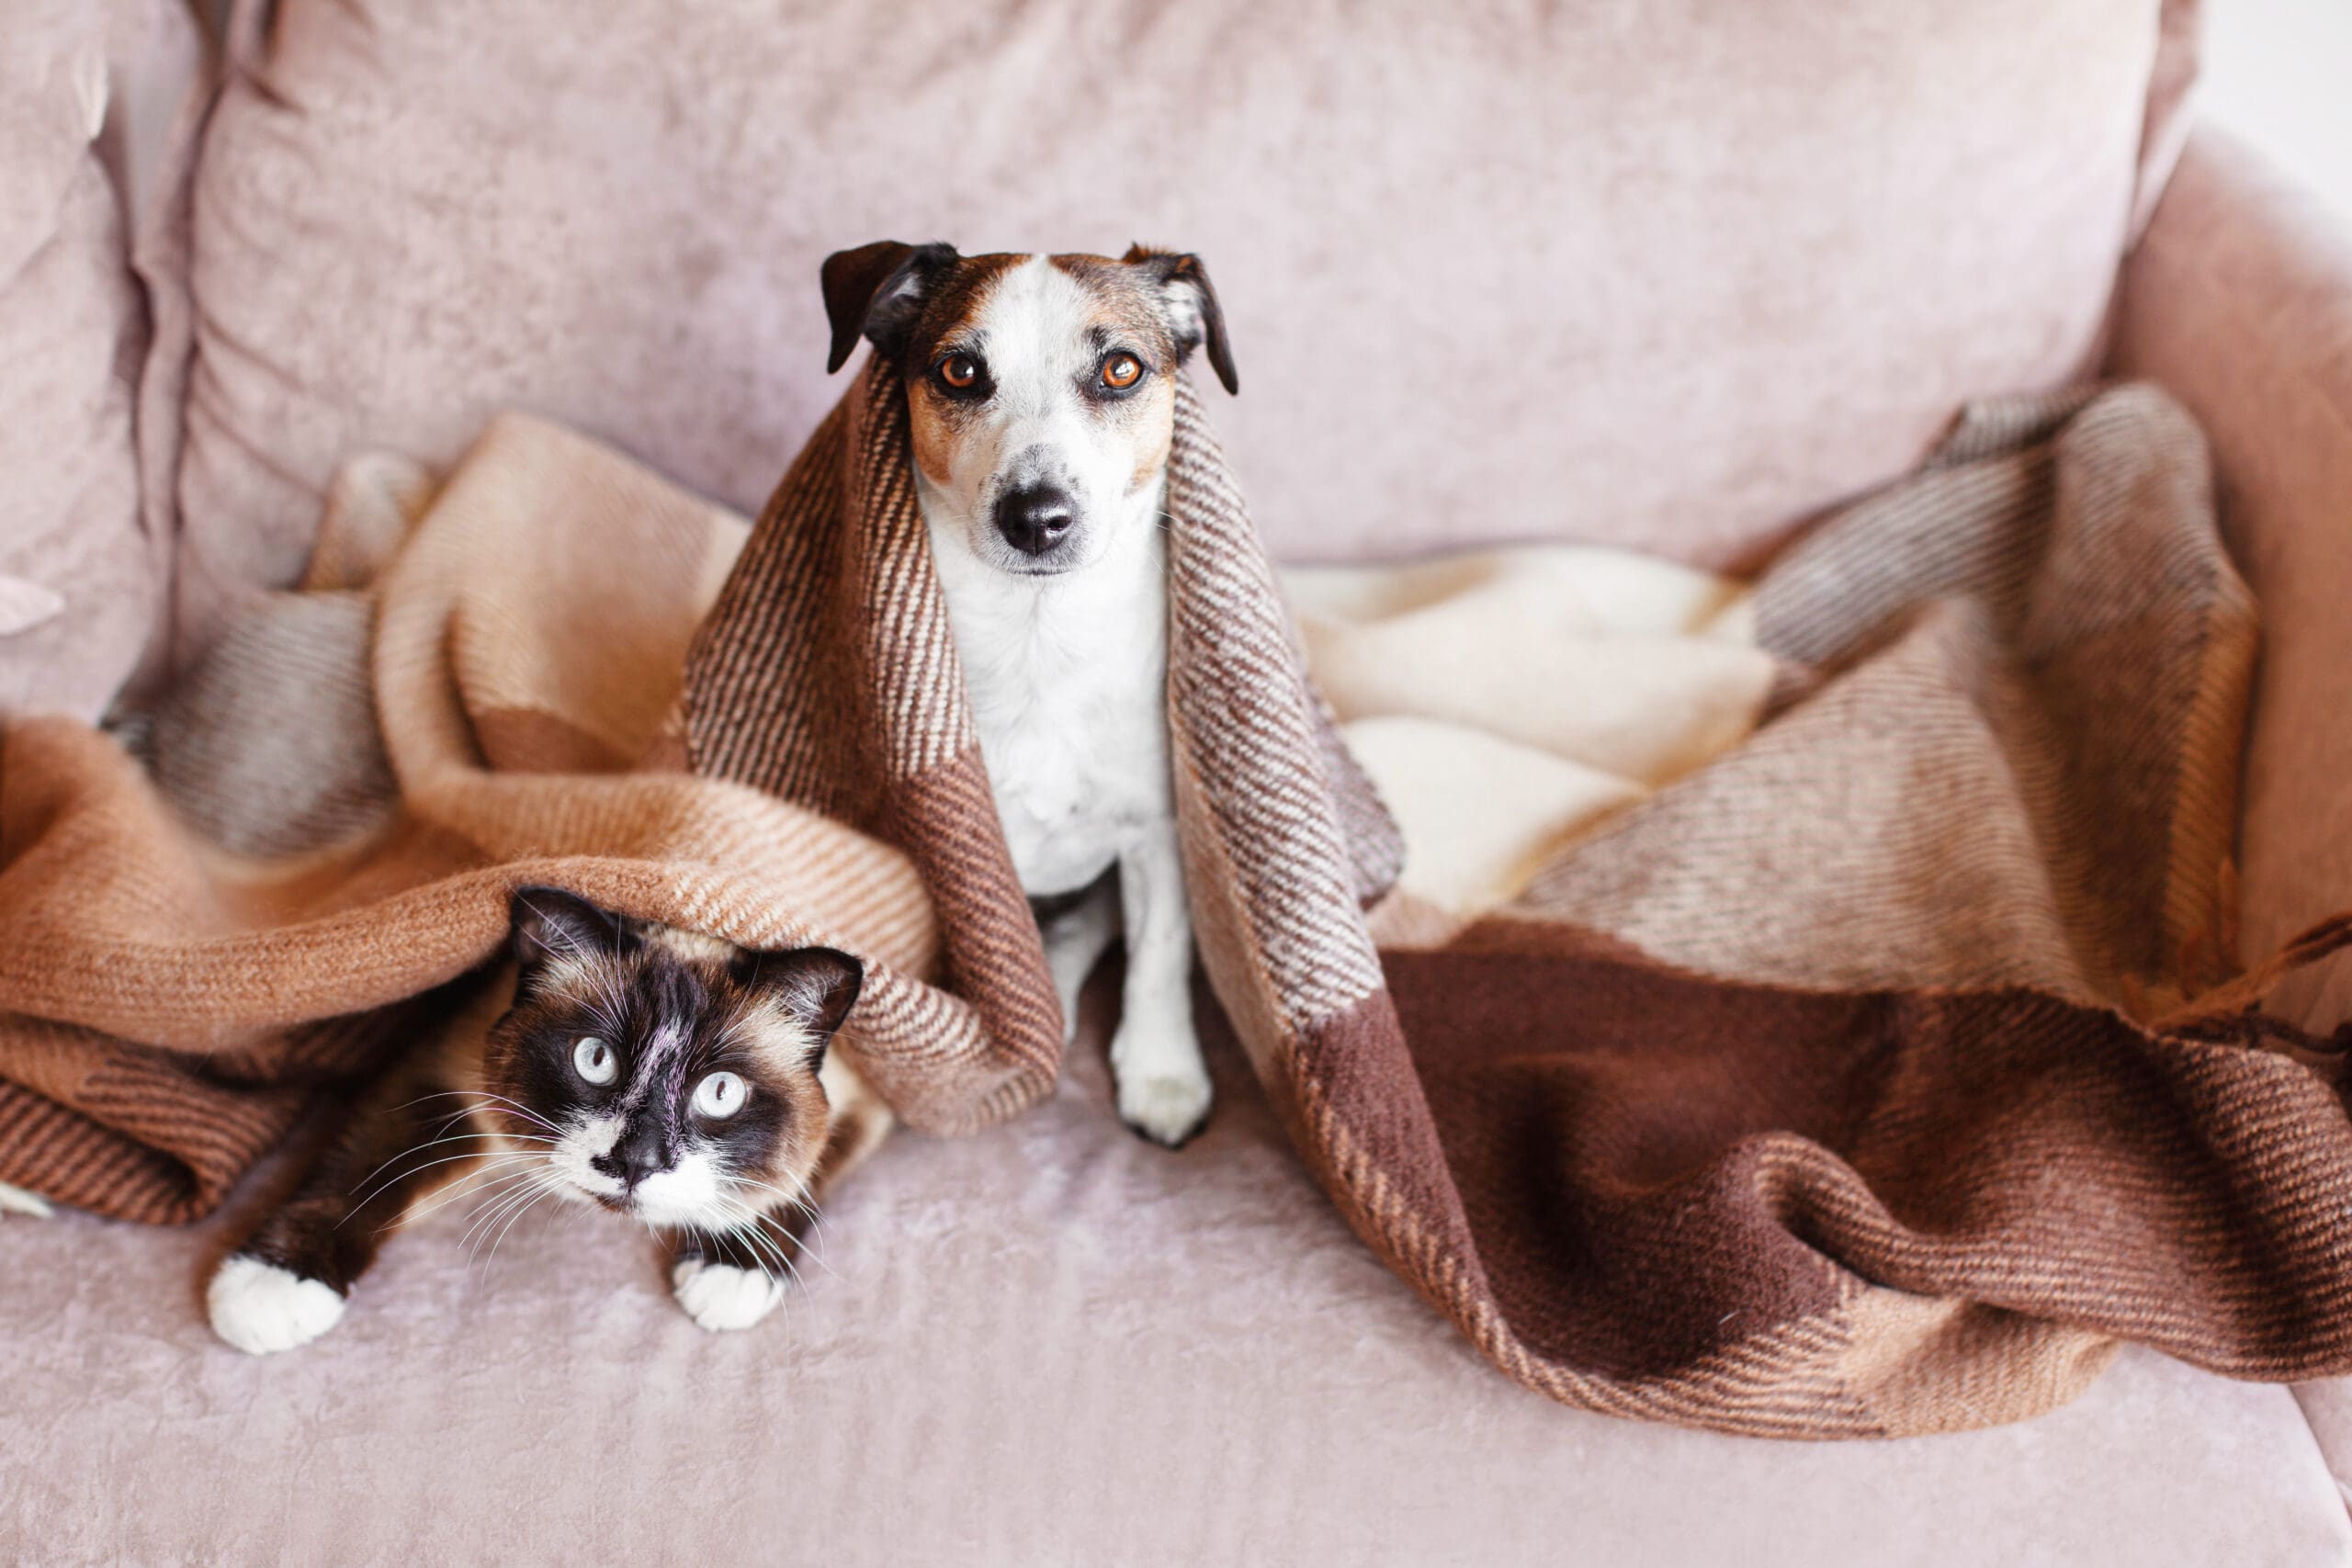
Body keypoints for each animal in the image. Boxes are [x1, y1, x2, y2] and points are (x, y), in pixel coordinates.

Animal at [207, 888, 888, 1354]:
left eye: (720, 1093)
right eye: (595, 1059)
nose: (634, 1161)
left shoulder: (868, 1097)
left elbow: (798, 1175)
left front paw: (732, 1273)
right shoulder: (441, 1072)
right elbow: (364, 1171)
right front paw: (273, 1284)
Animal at [818, 240, 1241, 1146]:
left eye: (1121, 368)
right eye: (960, 370)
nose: (1037, 515)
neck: (1038, 638)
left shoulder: (1156, 828)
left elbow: (1160, 954)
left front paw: (1162, 1074)